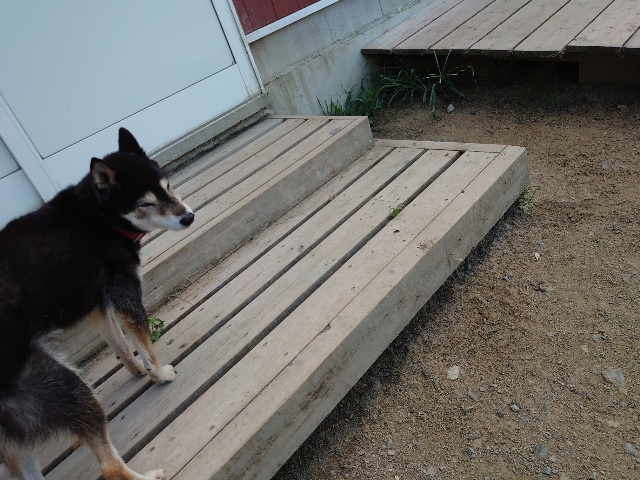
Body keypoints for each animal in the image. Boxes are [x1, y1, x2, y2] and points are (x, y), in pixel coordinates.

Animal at [0, 128, 194, 479]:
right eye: (146, 203)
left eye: (167, 186)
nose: (188, 216)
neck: (99, 218)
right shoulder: (125, 294)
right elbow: (146, 343)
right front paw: (159, 373)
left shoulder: (99, 306)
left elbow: (121, 344)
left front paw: (137, 370)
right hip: (60, 383)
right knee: (110, 467)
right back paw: (146, 476)